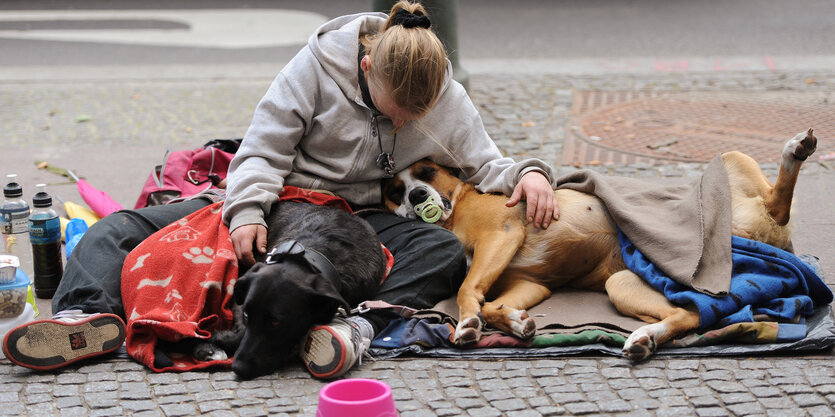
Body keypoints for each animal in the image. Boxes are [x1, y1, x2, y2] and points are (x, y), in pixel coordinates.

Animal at [191, 200, 386, 378]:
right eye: (247, 315)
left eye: (276, 322)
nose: (238, 367)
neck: (313, 257)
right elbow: (241, 330)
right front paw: (211, 342)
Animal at [384, 129, 816, 358]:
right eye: (394, 191)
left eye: (427, 172)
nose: (416, 195)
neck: (457, 207)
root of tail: (775, 238)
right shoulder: (529, 283)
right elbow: (491, 302)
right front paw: (514, 321)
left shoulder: (501, 235)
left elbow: (466, 289)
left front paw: (468, 321)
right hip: (622, 283)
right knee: (690, 316)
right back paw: (645, 338)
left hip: (732, 162)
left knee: (777, 203)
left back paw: (795, 152)